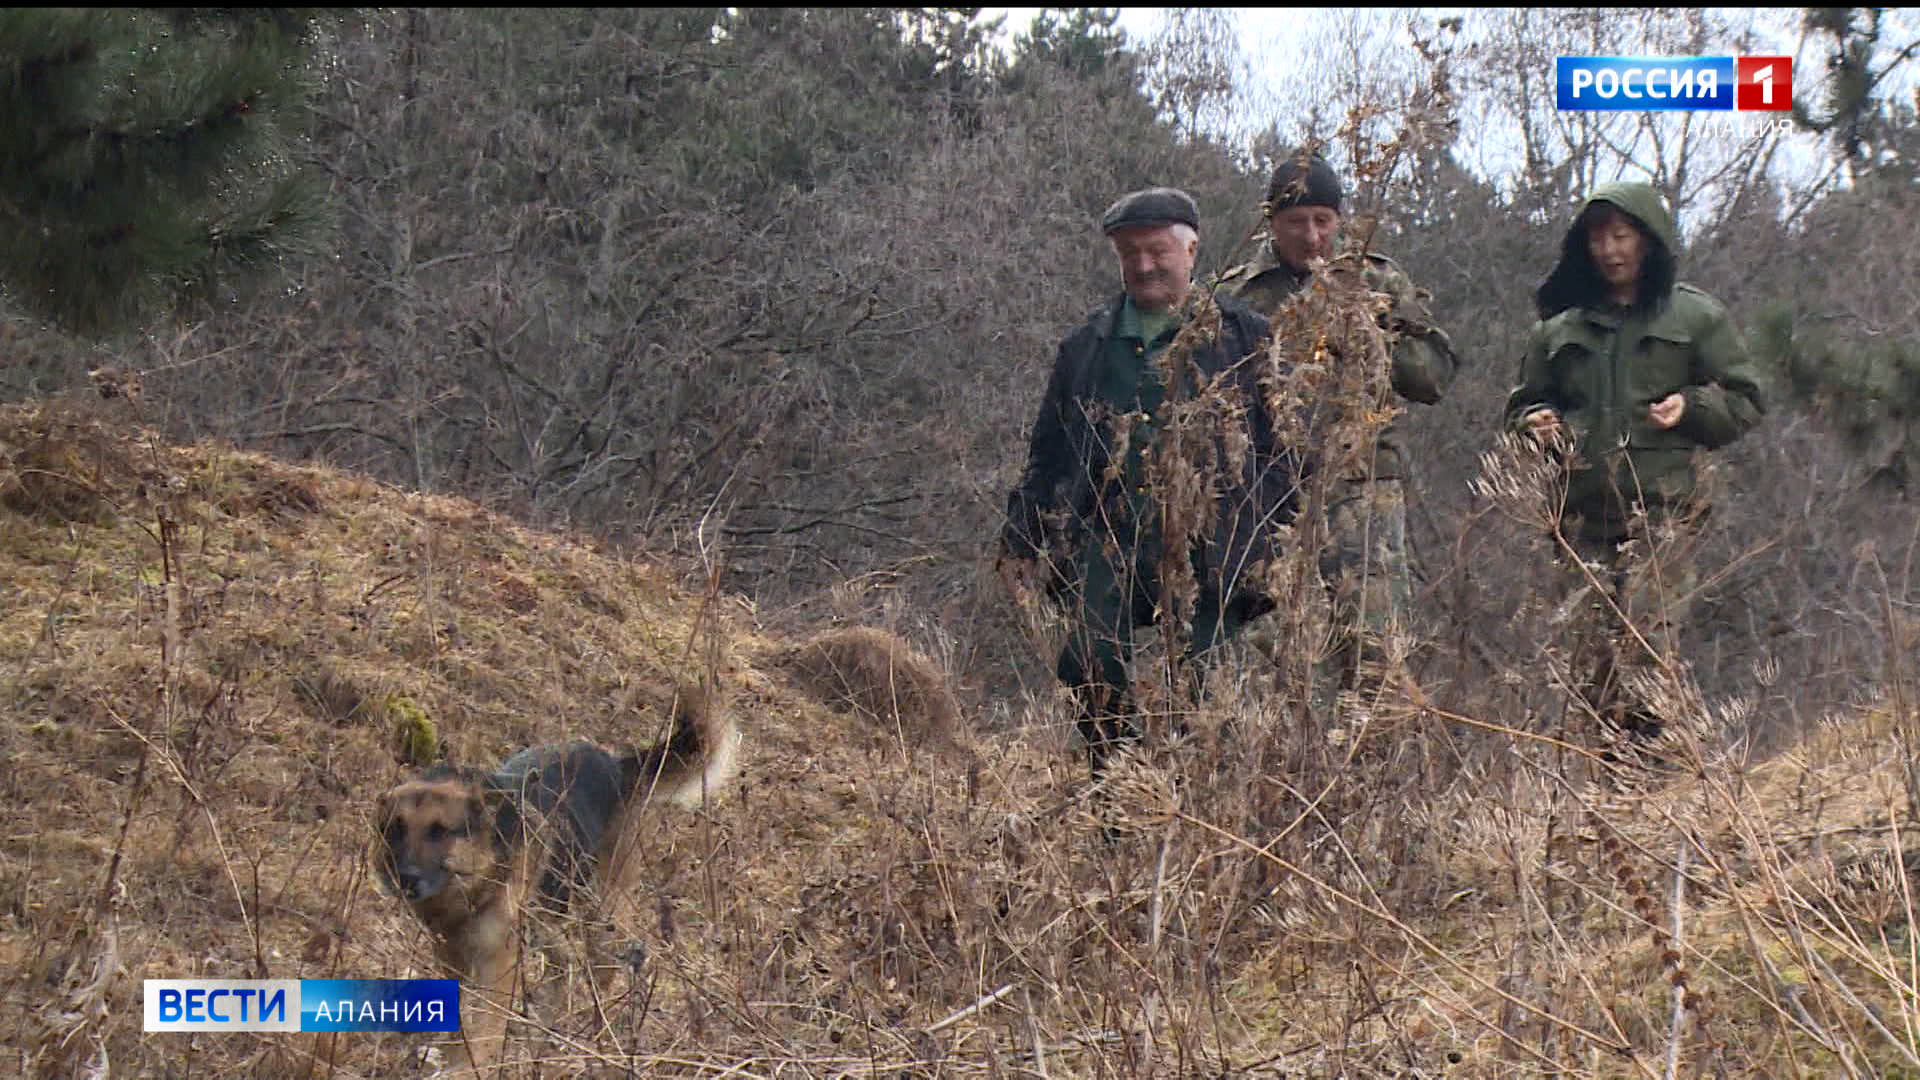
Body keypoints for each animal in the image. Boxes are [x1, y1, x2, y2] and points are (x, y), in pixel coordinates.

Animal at [374, 680, 733, 1068]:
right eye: (395, 830)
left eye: (440, 831)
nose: (406, 877)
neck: (470, 887)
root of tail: (617, 764)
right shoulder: (452, 957)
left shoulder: (497, 965)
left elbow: (481, 1031)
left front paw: (467, 1067)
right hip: (545, 918)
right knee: (565, 963)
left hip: (602, 917)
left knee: (602, 977)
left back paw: (597, 1045)